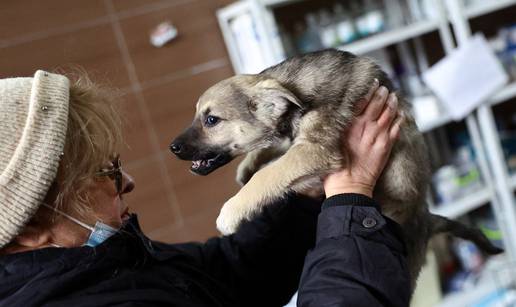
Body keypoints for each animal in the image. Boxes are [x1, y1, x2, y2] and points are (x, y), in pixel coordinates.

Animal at [171, 48, 502, 286]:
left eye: (211, 120)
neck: (295, 89)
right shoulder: (297, 141)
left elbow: (270, 173)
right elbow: (271, 149)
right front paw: (246, 167)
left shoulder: (315, 149)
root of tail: (427, 218)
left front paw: (231, 211)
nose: (172, 147)